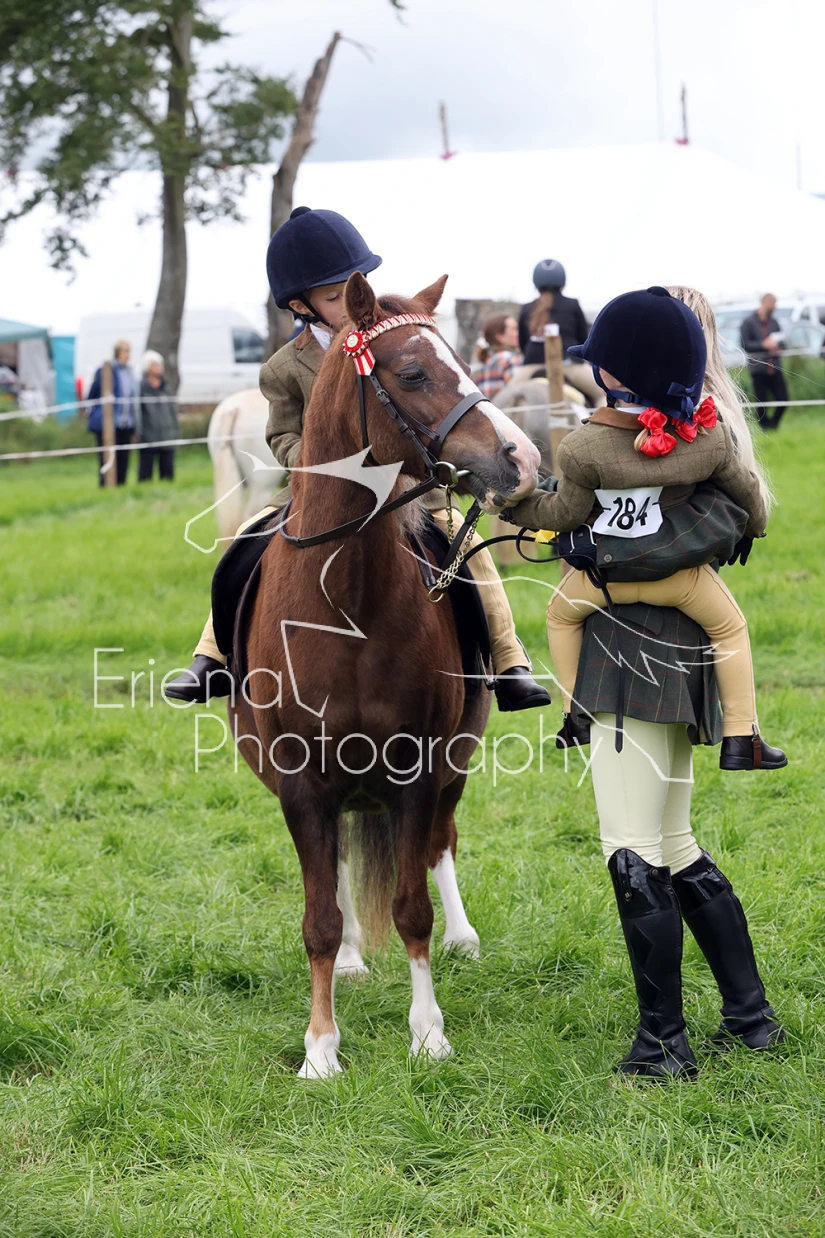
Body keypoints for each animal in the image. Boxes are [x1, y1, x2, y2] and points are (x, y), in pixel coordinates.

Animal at [230, 272, 540, 1079]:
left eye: (466, 358)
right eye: (411, 374)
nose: (524, 458)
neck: (348, 597)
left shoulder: (419, 769)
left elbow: (411, 906)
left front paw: (428, 1033)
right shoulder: (300, 782)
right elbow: (318, 917)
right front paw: (319, 1050)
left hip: (454, 763)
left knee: (438, 845)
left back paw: (462, 939)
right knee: (339, 867)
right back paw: (347, 965)